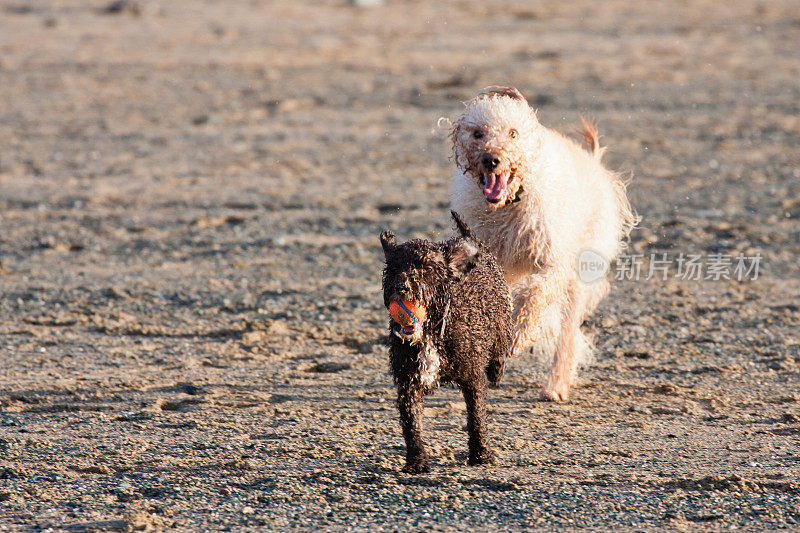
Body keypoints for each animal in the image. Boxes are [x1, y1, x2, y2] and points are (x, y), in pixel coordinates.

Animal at [446, 86, 636, 400]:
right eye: (477, 134)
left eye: (513, 133)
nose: (491, 159)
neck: (510, 204)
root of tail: (594, 163)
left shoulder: (553, 262)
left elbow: (535, 295)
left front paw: (517, 334)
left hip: (579, 275)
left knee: (567, 335)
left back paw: (556, 385)